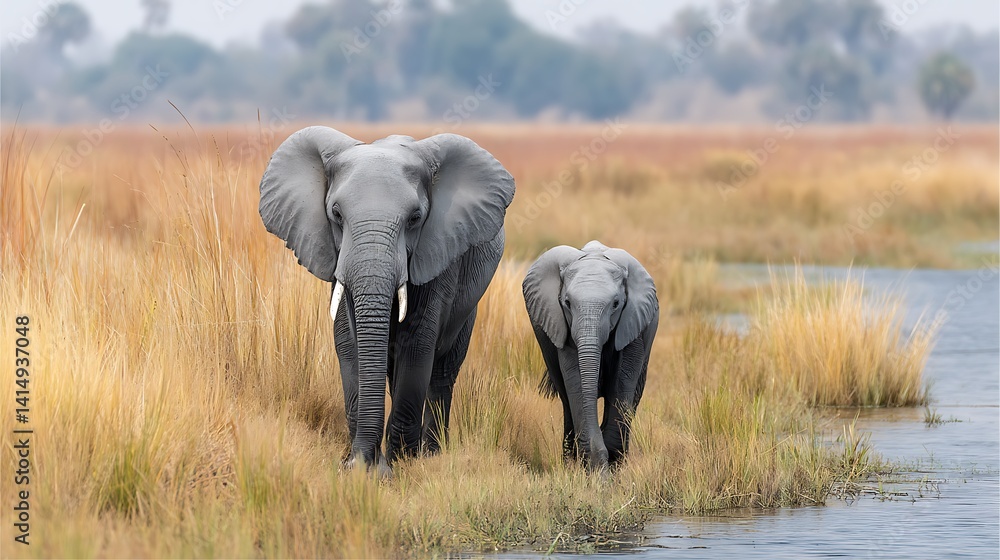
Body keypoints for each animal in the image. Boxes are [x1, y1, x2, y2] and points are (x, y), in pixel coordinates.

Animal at [259, 126, 515, 474]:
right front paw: (358, 469)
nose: (365, 461)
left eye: (415, 218)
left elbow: (417, 343)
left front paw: (400, 465)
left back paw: (431, 453)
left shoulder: (436, 255)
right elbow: (348, 342)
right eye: (336, 214)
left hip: (468, 303)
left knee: (442, 373)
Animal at [522, 241, 659, 471]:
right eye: (567, 303)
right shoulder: (564, 327)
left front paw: (612, 469)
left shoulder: (633, 326)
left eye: (616, 304)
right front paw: (592, 468)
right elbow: (576, 381)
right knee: (567, 400)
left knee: (633, 399)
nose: (600, 464)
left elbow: (621, 384)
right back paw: (570, 461)